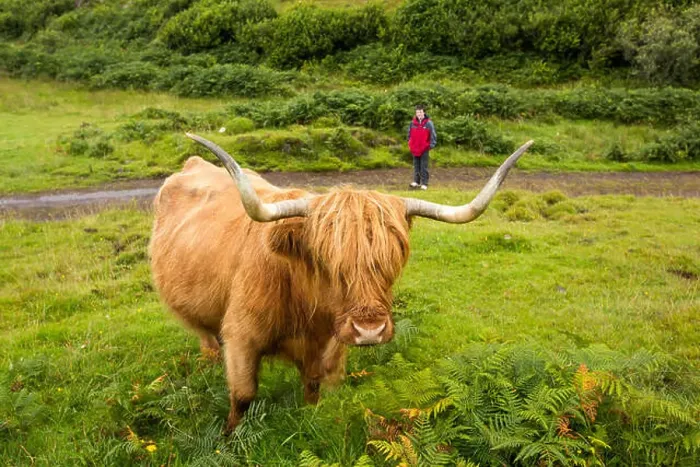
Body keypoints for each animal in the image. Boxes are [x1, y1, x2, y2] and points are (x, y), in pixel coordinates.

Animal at [149, 133, 533, 432]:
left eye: (392, 260)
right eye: (327, 261)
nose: (369, 330)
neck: (304, 307)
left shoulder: (331, 342)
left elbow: (316, 387)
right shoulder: (241, 337)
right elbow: (242, 396)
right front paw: (229, 440)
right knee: (207, 341)